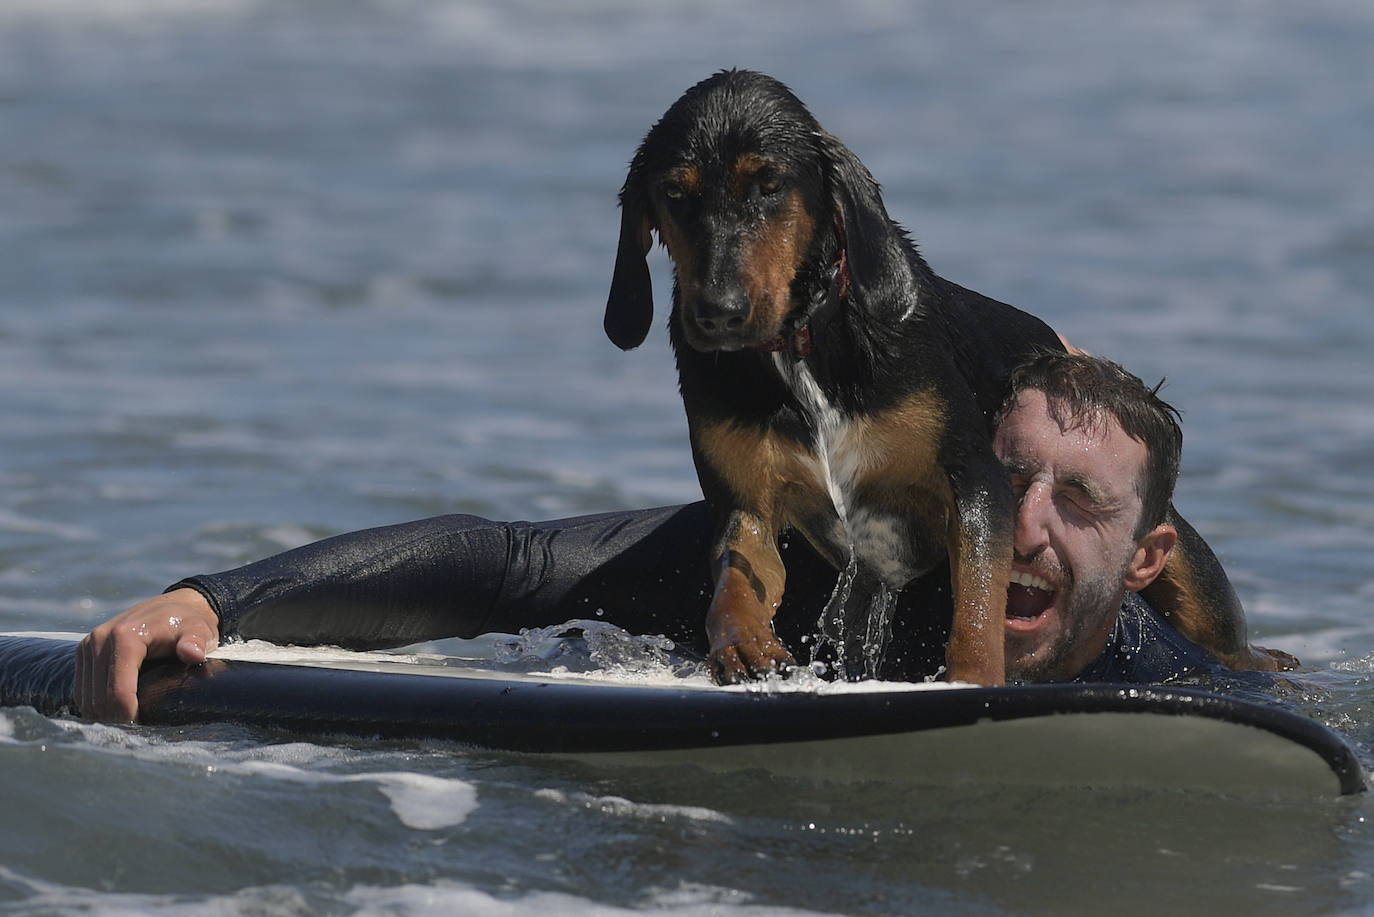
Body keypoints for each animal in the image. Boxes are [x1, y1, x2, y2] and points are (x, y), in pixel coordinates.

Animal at [607, 71, 1280, 684]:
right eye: (675, 194)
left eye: (769, 185)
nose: (717, 312)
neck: (801, 347)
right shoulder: (745, 502)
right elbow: (736, 580)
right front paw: (741, 642)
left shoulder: (975, 480)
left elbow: (979, 610)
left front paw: (975, 679)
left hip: (1196, 581)